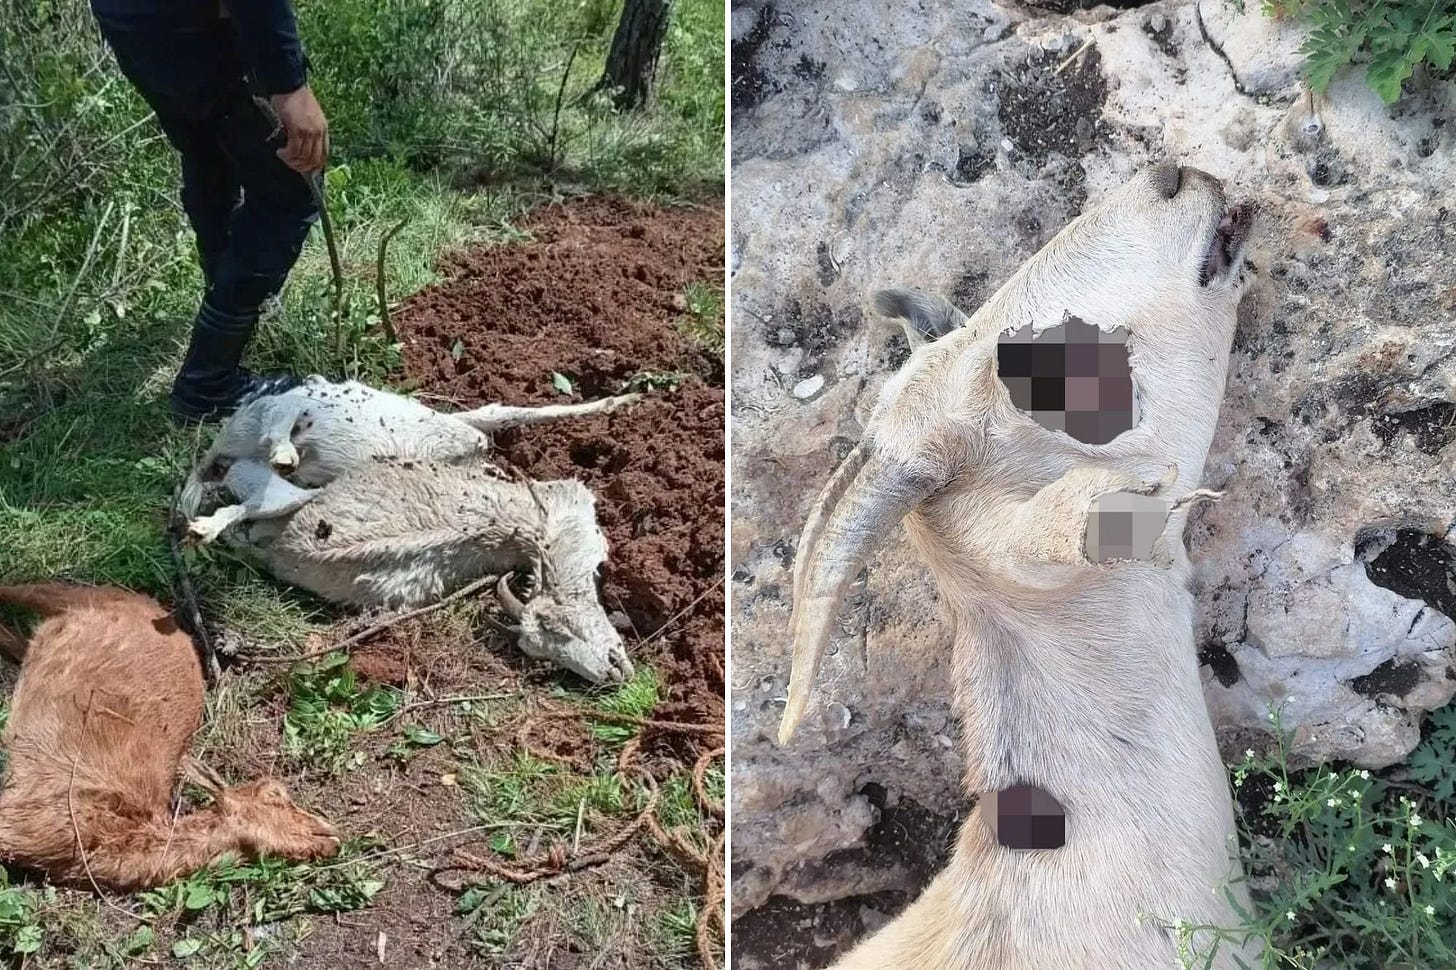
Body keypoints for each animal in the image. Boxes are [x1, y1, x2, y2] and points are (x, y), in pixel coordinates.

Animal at [198, 456, 634, 685]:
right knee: (245, 505)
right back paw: (201, 527)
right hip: (285, 498)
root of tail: (287, 545)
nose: (613, 673)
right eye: (544, 646)